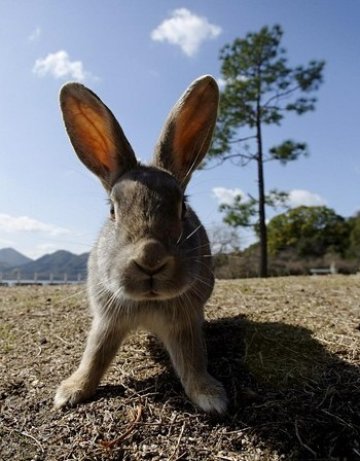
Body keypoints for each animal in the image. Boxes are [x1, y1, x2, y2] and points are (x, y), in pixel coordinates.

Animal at [53, 74, 228, 414]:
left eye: (182, 207)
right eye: (112, 210)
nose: (150, 257)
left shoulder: (184, 322)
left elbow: (192, 359)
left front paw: (210, 397)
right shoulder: (107, 319)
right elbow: (95, 355)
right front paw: (70, 392)